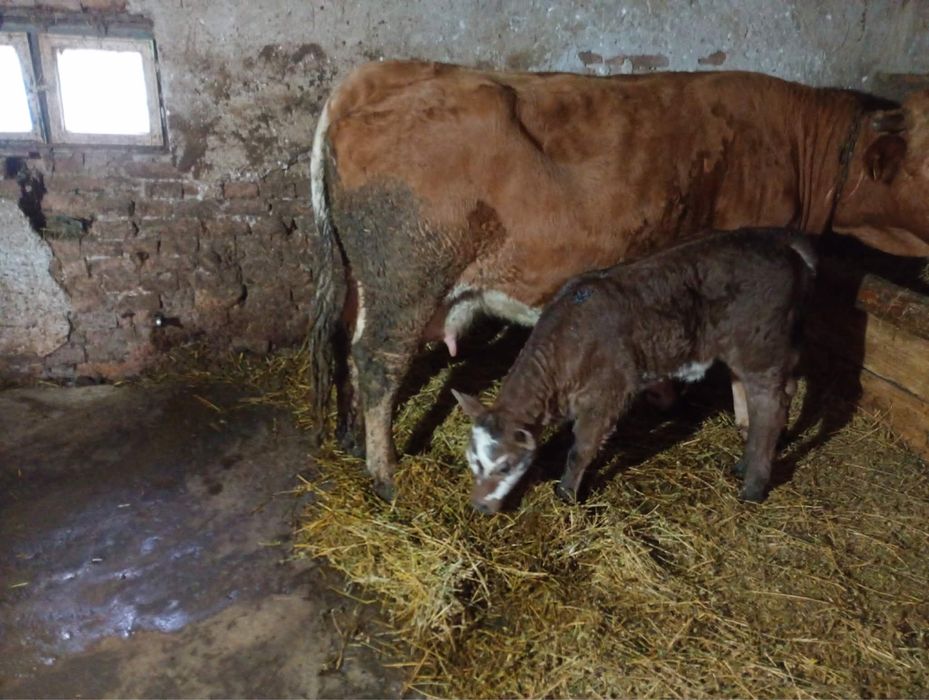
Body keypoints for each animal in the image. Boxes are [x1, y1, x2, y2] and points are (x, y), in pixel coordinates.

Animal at [453, 229, 816, 514]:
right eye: (473, 460)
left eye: (505, 465)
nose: (479, 506)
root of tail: (778, 241)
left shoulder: (607, 393)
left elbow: (580, 449)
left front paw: (566, 493)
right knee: (775, 389)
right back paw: (747, 462)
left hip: (759, 345)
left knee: (769, 407)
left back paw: (753, 487)